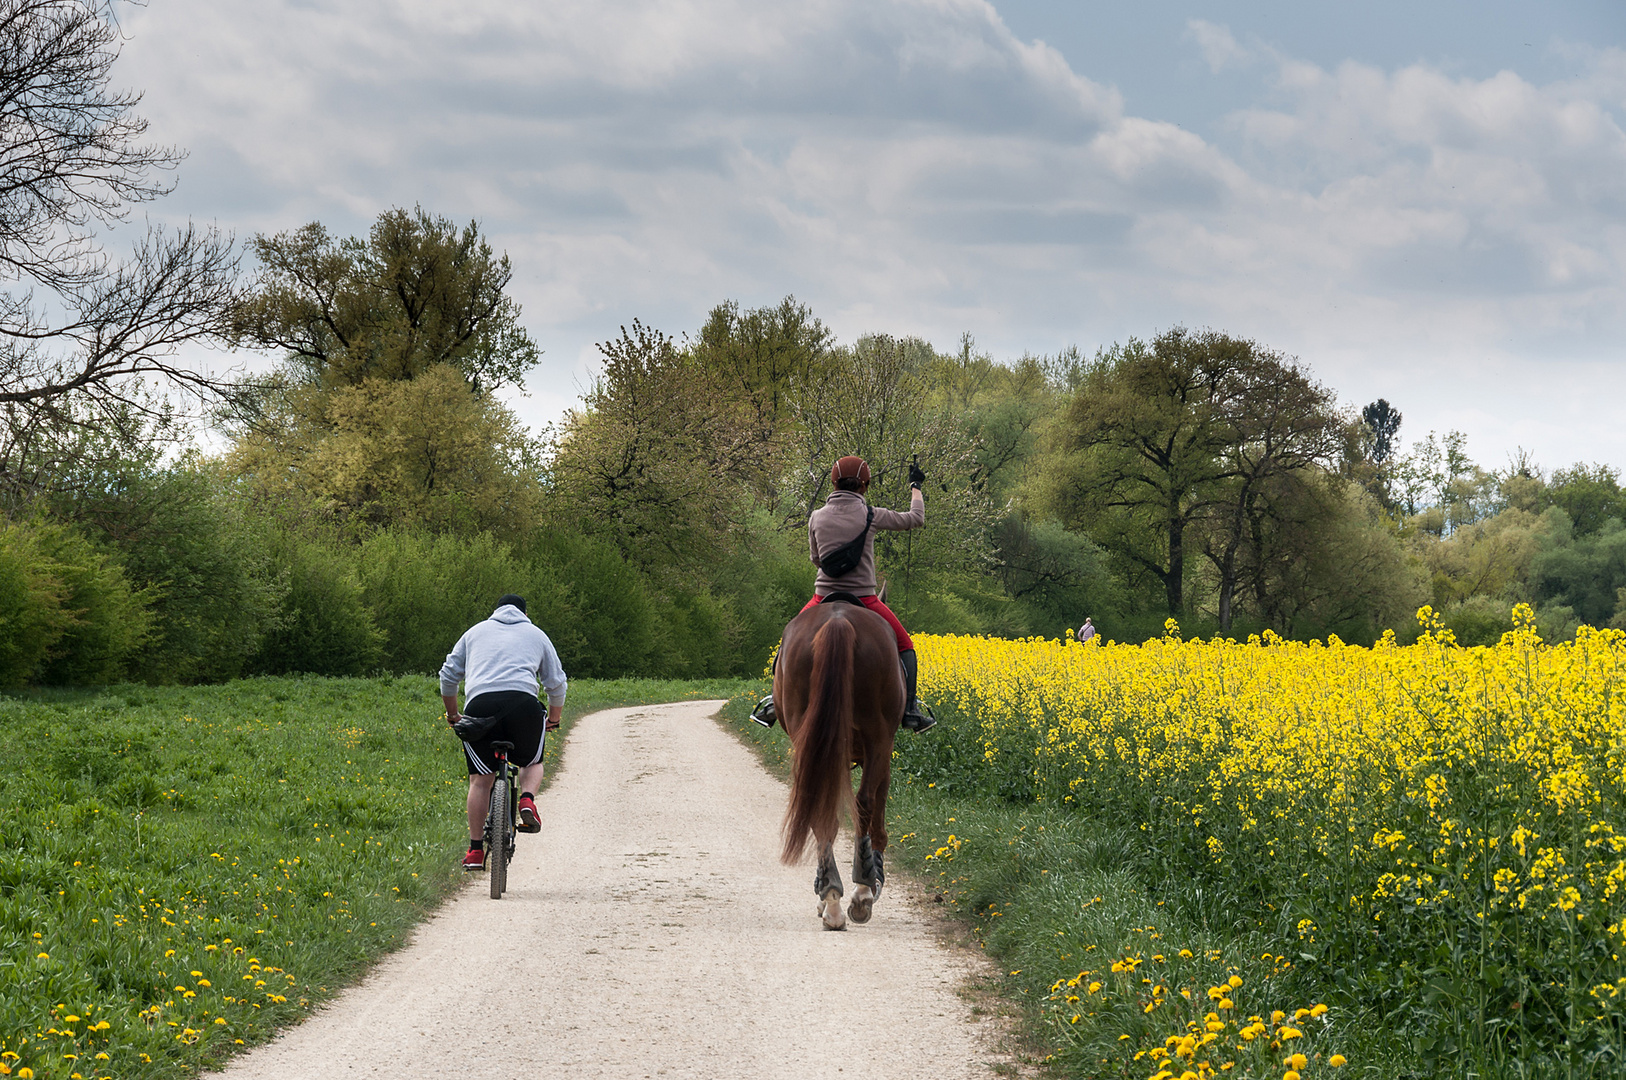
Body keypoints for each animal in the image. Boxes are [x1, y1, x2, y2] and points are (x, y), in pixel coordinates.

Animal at [770, 598, 904, 930]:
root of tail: (838, 620)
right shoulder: (882, 752)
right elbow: (877, 816)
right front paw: (871, 880)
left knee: (820, 810)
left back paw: (831, 898)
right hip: (877, 737)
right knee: (865, 802)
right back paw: (860, 890)